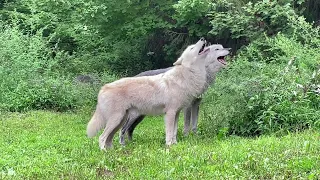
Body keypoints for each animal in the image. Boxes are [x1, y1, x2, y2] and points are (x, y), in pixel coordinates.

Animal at [87, 38, 215, 149]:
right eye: (192, 47)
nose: (203, 38)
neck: (186, 76)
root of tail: (103, 88)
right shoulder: (170, 113)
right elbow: (169, 132)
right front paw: (169, 146)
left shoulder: (177, 113)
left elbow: (174, 132)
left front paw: (175, 144)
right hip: (117, 119)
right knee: (102, 137)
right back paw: (104, 153)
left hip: (120, 121)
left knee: (109, 138)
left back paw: (113, 151)